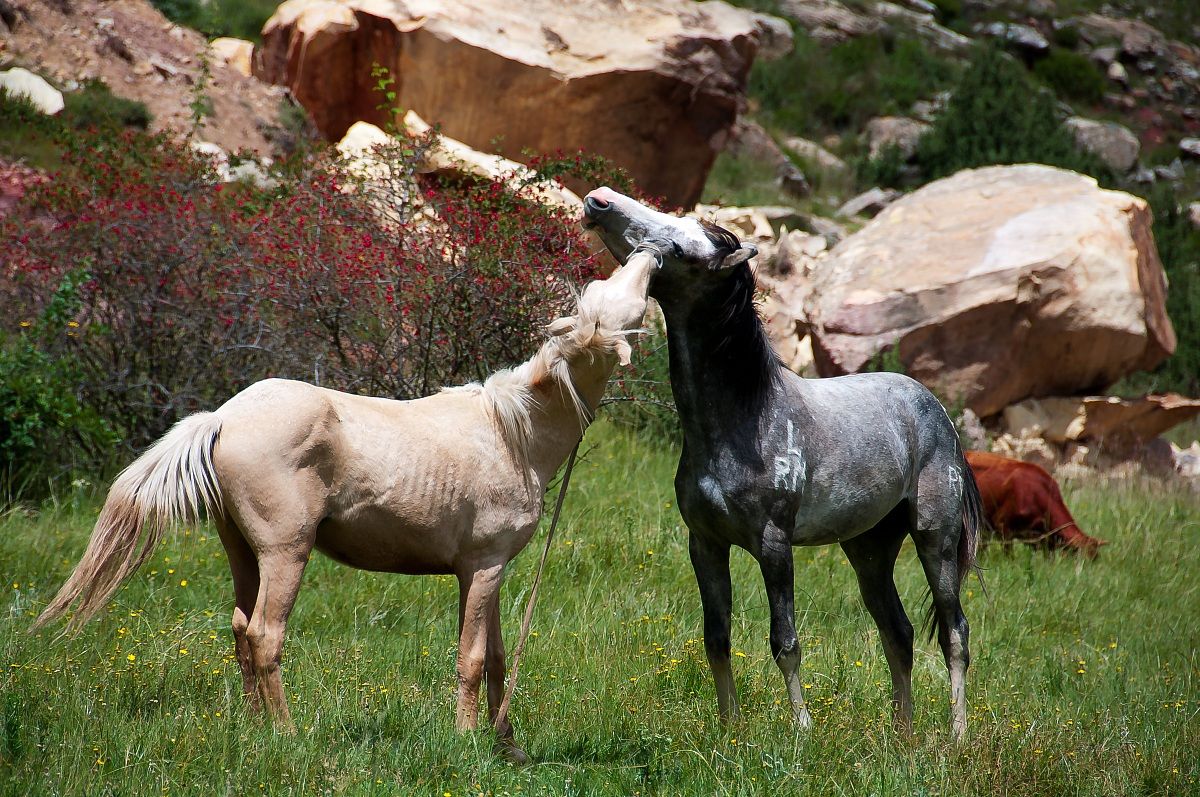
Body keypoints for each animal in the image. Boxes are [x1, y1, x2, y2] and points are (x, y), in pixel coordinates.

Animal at [32, 248, 657, 761]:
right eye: (616, 293)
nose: (649, 252)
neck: (513, 434)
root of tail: (223, 417)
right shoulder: (483, 568)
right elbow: (473, 659)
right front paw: (467, 742)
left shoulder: (487, 572)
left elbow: (498, 655)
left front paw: (508, 747)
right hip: (285, 553)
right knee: (265, 636)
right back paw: (286, 736)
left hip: (242, 553)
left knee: (239, 629)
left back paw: (255, 730)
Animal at [582, 187, 983, 739]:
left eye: (683, 250)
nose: (598, 201)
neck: (745, 420)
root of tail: (935, 409)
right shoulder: (705, 543)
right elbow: (716, 637)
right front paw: (730, 727)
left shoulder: (774, 546)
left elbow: (785, 641)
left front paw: (802, 731)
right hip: (868, 549)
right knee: (897, 632)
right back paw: (902, 735)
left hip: (935, 540)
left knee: (954, 633)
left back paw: (956, 736)